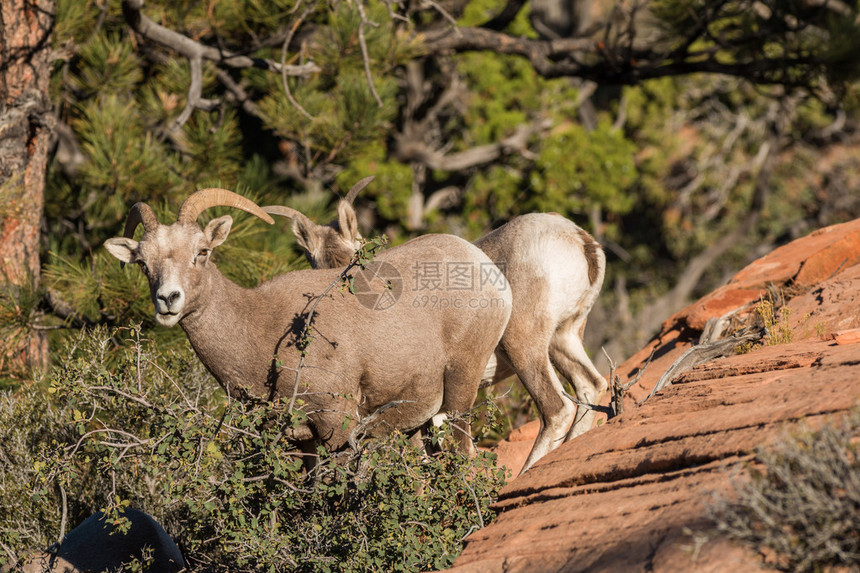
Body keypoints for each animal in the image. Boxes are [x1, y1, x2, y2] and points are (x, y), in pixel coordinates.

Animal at [106, 188, 510, 456]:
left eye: (201, 252)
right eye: (143, 263)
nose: (168, 299)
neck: (260, 329)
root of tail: (483, 266)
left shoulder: (336, 426)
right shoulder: (296, 441)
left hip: (461, 389)